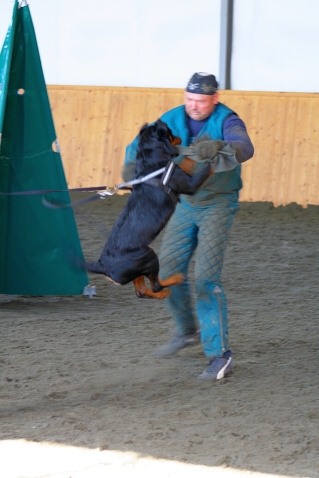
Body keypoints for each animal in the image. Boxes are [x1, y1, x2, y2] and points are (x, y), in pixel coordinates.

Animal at [85, 119, 212, 296]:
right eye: (170, 132)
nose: (180, 136)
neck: (151, 164)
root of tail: (101, 265)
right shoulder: (191, 184)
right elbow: (200, 166)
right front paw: (207, 151)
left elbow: (184, 161)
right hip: (148, 256)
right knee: (155, 285)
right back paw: (175, 279)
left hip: (139, 265)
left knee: (142, 291)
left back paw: (164, 292)